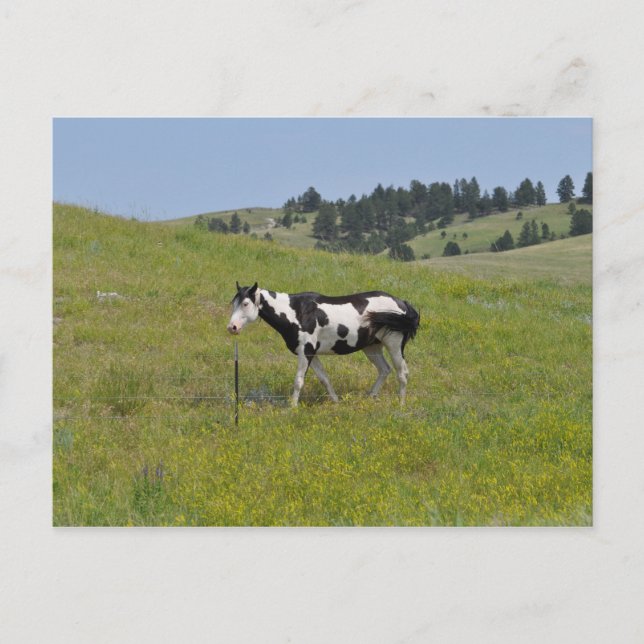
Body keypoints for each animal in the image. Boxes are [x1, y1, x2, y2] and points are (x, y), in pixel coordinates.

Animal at [227, 282, 420, 406]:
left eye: (245, 303)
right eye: (234, 303)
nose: (232, 327)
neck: (297, 312)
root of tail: (403, 305)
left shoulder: (305, 352)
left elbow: (298, 381)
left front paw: (292, 408)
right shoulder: (312, 354)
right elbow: (324, 379)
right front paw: (336, 402)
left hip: (394, 345)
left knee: (402, 373)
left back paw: (401, 405)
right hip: (372, 347)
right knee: (384, 370)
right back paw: (370, 397)